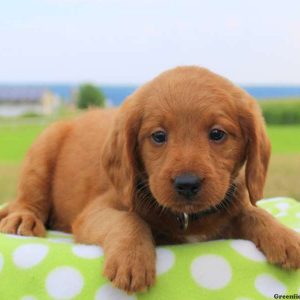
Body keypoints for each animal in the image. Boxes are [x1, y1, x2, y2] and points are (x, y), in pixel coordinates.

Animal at [0, 66, 300, 292]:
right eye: (158, 136)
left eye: (217, 134)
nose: (187, 183)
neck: (186, 218)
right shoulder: (94, 212)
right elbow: (129, 219)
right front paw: (133, 259)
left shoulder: (230, 204)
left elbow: (252, 213)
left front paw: (284, 236)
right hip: (44, 148)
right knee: (29, 197)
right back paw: (22, 218)